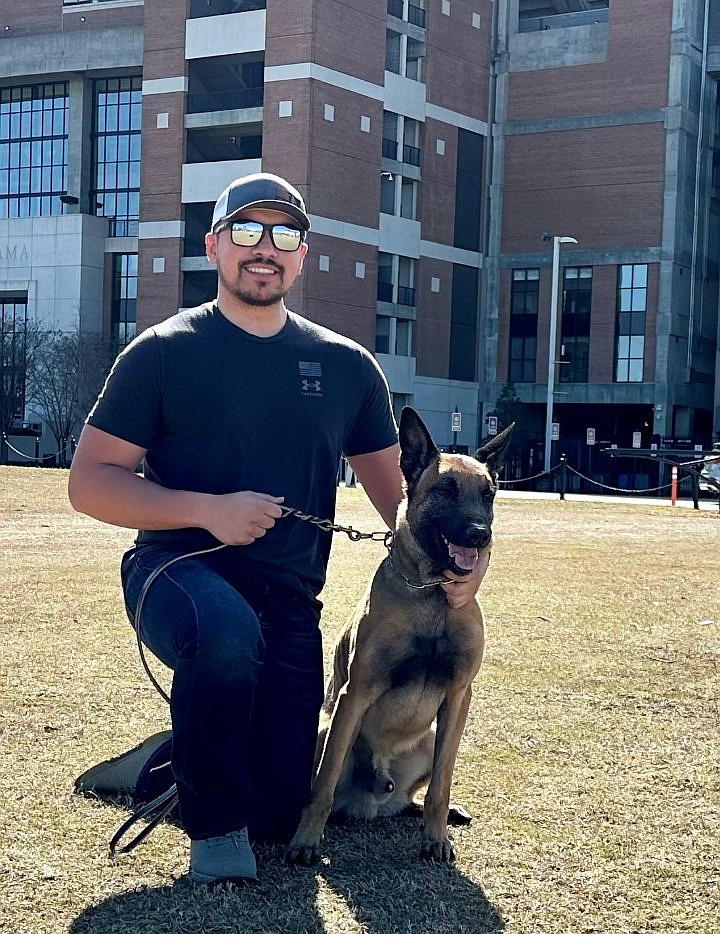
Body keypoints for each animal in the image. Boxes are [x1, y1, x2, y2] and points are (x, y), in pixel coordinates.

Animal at [286, 406, 512, 868]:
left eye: (489, 495)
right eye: (445, 489)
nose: (480, 534)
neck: (433, 594)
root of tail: (374, 799)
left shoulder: (458, 698)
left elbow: (441, 784)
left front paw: (436, 838)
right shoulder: (355, 694)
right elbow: (324, 783)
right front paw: (306, 841)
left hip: (429, 739)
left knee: (417, 796)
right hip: (322, 727)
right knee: (324, 787)